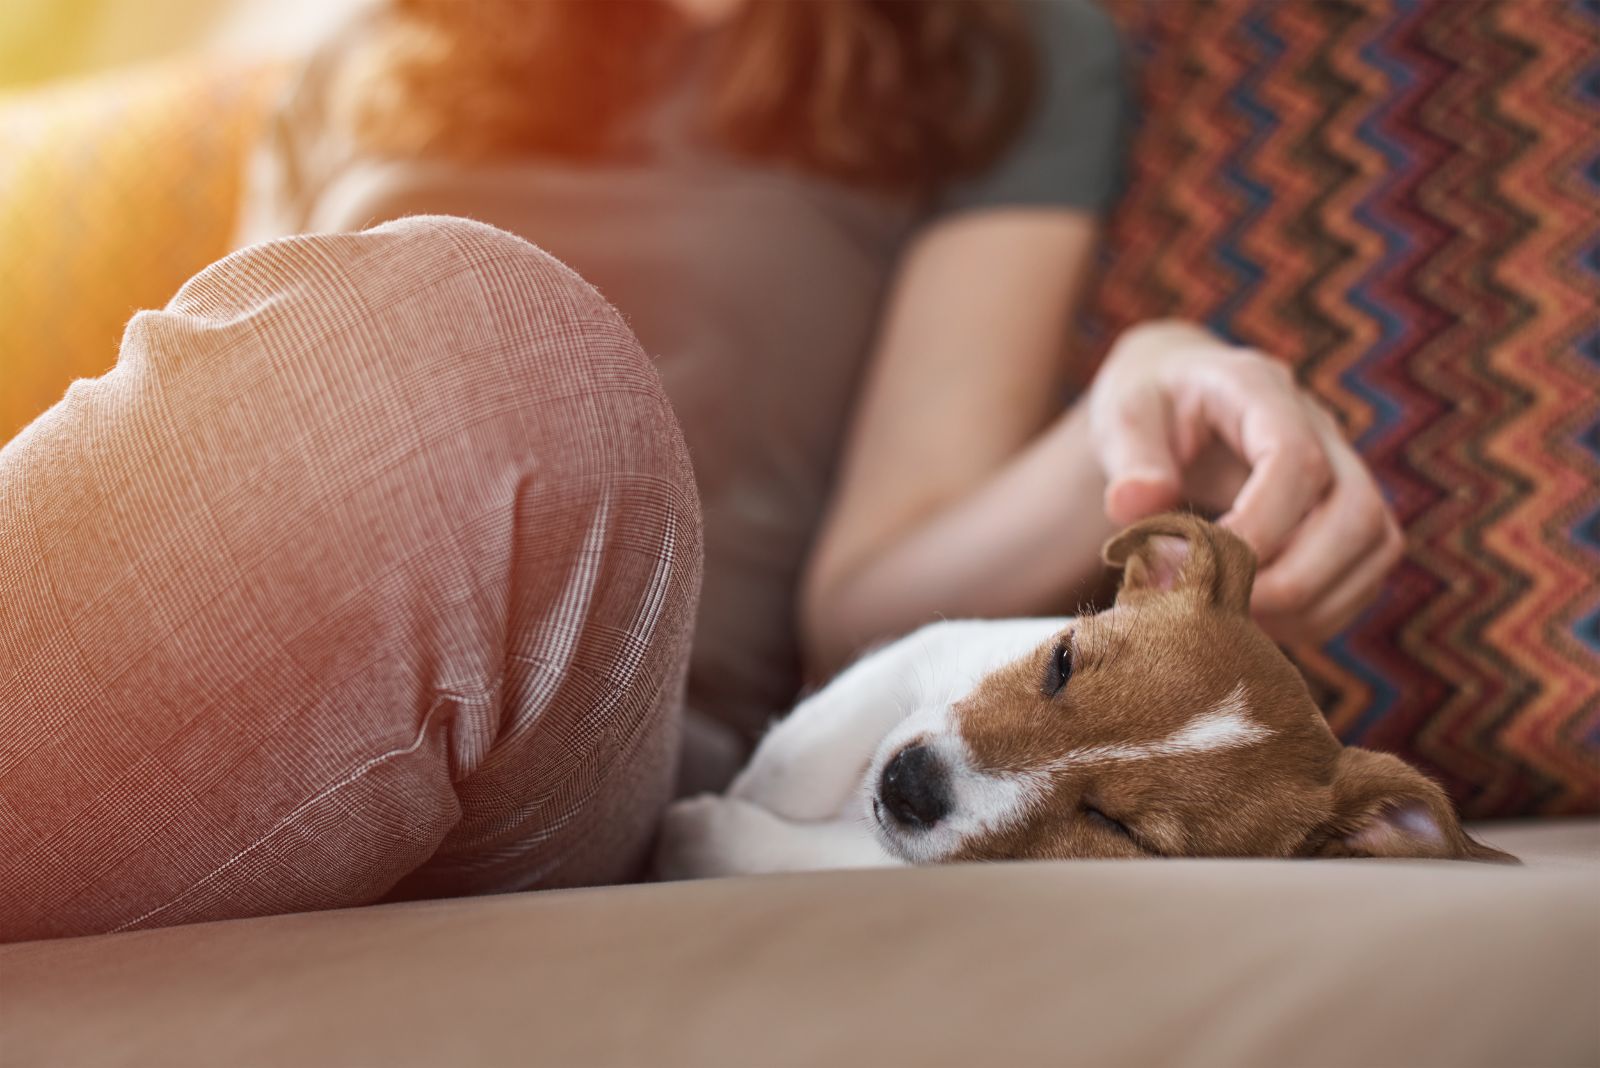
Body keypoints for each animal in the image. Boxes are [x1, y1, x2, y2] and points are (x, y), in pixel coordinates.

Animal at [656, 511, 1516, 882]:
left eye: (1118, 829)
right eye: (1061, 661)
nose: (907, 787)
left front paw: (710, 833)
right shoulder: (935, 649)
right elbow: (812, 745)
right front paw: (758, 781)